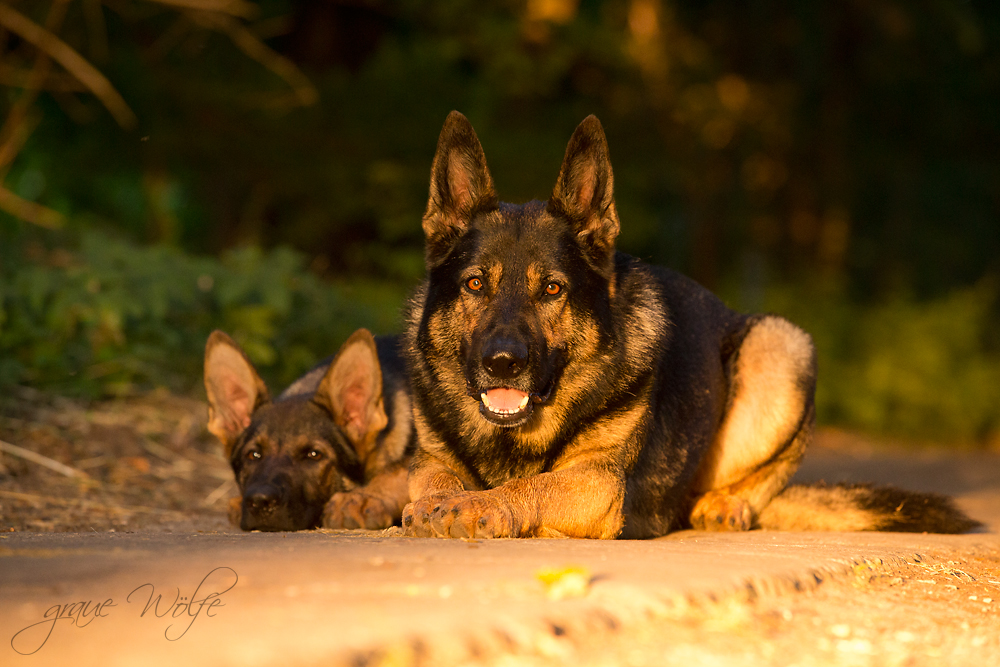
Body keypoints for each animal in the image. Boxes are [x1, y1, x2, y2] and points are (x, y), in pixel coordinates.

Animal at [398, 112, 976, 540]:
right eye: (475, 284)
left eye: (553, 290)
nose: (502, 363)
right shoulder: (428, 463)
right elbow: (434, 479)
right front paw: (445, 500)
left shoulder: (596, 483)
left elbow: (531, 488)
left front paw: (482, 505)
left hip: (780, 345)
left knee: (758, 481)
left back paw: (724, 505)